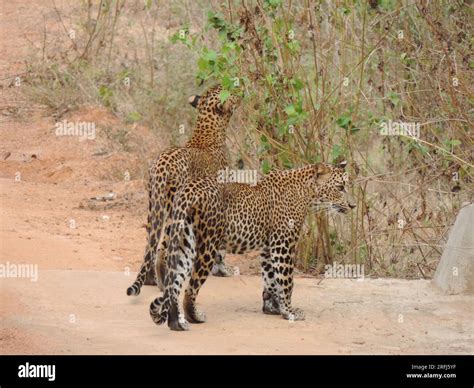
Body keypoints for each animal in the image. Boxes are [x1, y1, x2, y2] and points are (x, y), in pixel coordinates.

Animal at [126, 85, 239, 298]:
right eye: (229, 92)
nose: (238, 90)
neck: (208, 128)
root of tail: (161, 164)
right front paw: (223, 269)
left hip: (154, 207)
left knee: (151, 245)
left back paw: (153, 280)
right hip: (173, 208)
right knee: (163, 249)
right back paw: (165, 283)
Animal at [148, 161, 356, 330]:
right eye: (340, 187)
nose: (353, 206)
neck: (307, 193)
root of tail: (190, 188)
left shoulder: (268, 247)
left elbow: (270, 278)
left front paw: (272, 307)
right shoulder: (283, 243)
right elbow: (286, 281)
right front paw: (289, 311)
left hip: (185, 241)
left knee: (175, 282)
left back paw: (176, 323)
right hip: (208, 244)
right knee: (190, 286)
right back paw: (194, 316)